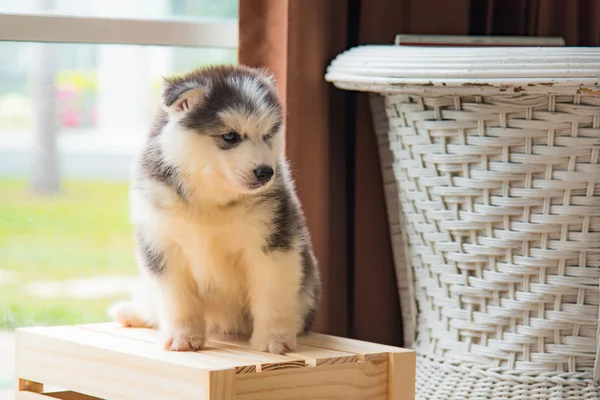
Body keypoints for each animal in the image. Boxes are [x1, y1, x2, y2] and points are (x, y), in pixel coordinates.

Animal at [109, 64, 322, 354]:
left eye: (267, 135)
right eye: (230, 136)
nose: (266, 172)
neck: (209, 200)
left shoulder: (272, 244)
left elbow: (272, 296)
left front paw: (274, 339)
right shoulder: (163, 243)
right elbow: (178, 299)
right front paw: (183, 336)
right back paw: (132, 312)